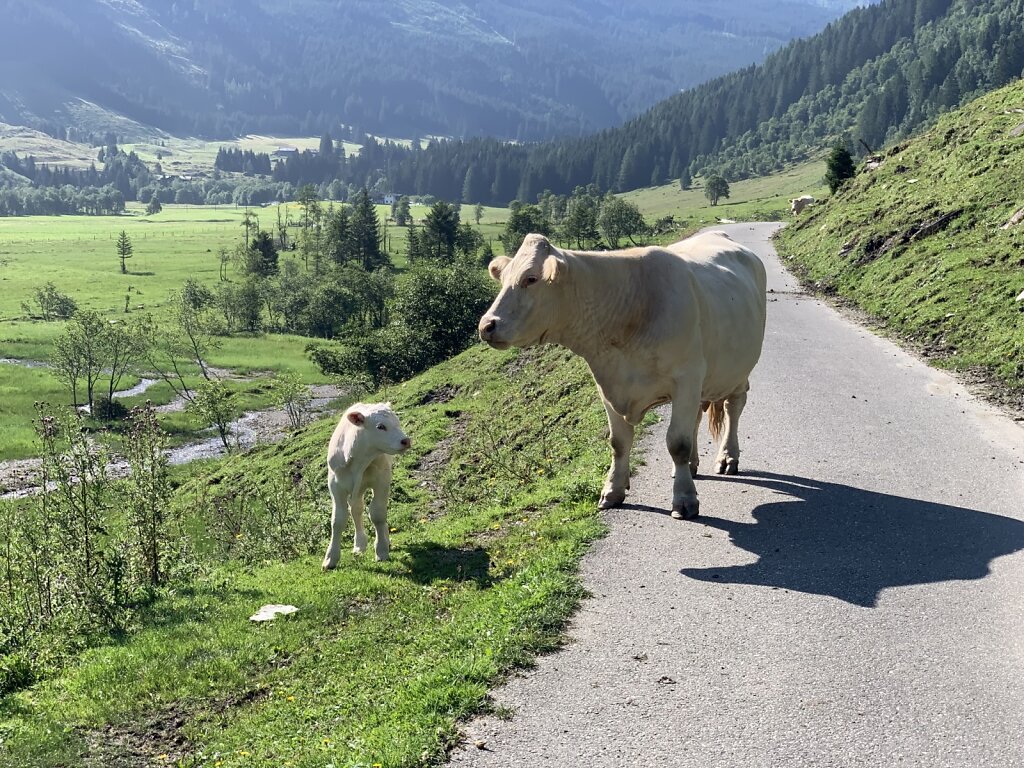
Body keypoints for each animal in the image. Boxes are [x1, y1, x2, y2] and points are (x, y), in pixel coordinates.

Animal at [323, 399, 411, 569]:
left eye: (397, 422)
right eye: (380, 426)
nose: (406, 441)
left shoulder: (382, 481)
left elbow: (378, 513)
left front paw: (381, 550)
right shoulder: (336, 487)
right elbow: (338, 520)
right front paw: (330, 558)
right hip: (356, 490)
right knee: (356, 509)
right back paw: (359, 545)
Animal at [475, 231, 765, 520]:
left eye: (531, 278)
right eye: (503, 278)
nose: (486, 325)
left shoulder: (686, 379)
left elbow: (677, 443)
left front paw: (684, 498)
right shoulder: (608, 384)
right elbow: (618, 442)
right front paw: (613, 490)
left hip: (739, 371)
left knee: (733, 407)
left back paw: (727, 458)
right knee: (696, 418)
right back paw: (690, 466)